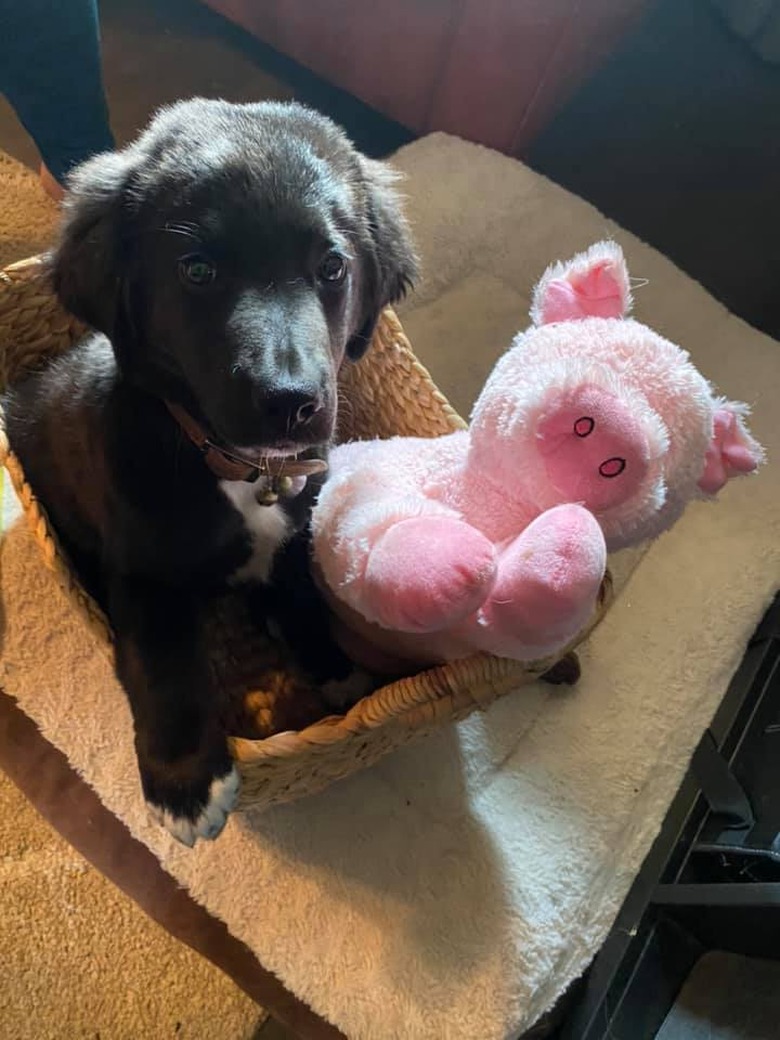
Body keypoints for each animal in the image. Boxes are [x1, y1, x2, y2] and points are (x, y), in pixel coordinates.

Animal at [6, 97, 418, 844]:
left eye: (332, 267)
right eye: (197, 270)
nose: (291, 402)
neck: (242, 469)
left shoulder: (294, 537)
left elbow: (303, 598)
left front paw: (335, 670)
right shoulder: (142, 575)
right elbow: (164, 666)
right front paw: (186, 783)